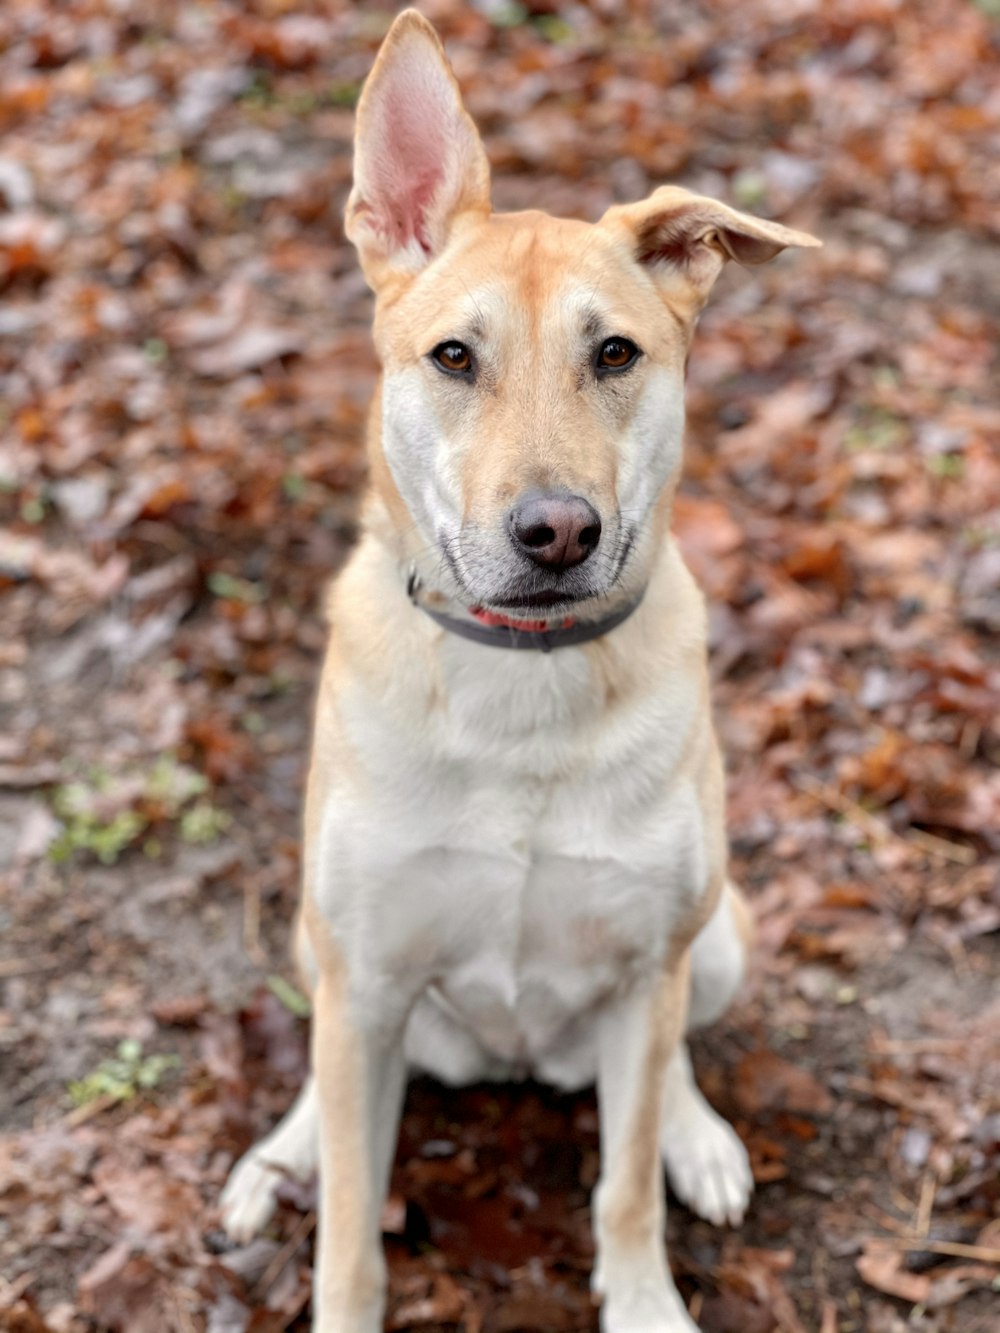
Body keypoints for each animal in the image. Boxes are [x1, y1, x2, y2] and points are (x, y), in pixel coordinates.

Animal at [221, 12, 821, 1333]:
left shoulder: (646, 969)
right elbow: (352, 1227)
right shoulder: (366, 973)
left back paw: (698, 1135)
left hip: (719, 937)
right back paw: (279, 1156)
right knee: (327, 1079)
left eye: (616, 352)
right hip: (318, 941)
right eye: (453, 356)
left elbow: (623, 1186)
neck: (522, 689)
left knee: (672, 1056)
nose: (556, 532)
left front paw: (645, 1293)